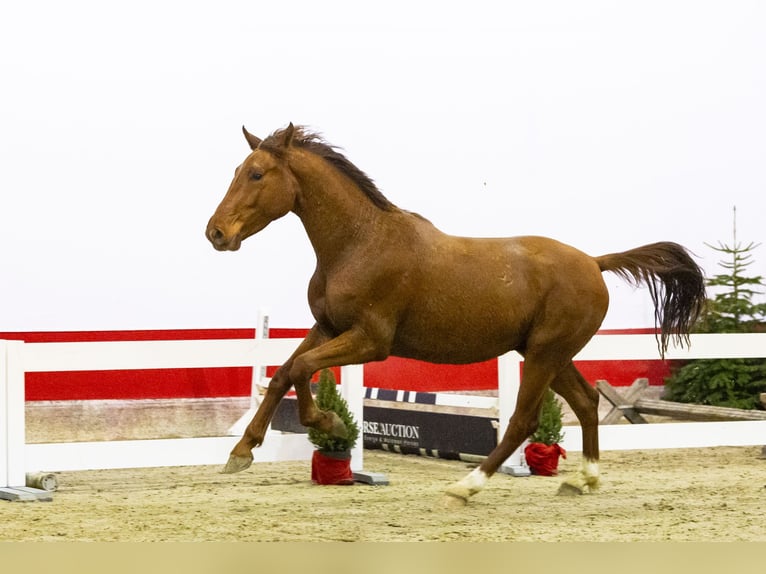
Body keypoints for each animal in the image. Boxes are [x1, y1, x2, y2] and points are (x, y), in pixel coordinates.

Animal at [206, 124, 708, 506]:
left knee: (523, 421)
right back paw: (583, 480)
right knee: (585, 403)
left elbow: (303, 369)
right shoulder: (328, 327)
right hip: (552, 354)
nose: (215, 233)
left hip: (544, 355)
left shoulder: (370, 339)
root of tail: (595, 262)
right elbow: (282, 373)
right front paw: (241, 452)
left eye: (256, 174)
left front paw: (329, 423)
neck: (359, 243)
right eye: (237, 171)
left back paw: (466, 487)